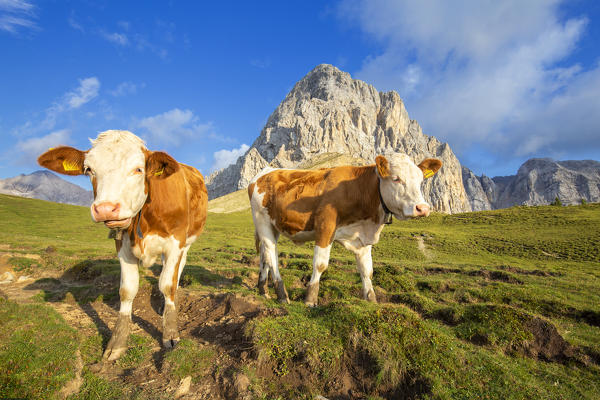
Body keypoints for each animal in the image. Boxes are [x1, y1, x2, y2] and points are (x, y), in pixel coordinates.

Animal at [37, 130, 207, 360]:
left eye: (138, 169)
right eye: (89, 169)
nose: (106, 209)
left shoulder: (176, 242)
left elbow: (167, 284)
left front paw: (170, 333)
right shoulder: (123, 246)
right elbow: (127, 290)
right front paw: (117, 343)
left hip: (188, 241)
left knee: (178, 269)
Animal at [247, 153, 440, 306]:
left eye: (421, 181)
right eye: (396, 178)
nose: (422, 208)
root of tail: (265, 172)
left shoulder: (363, 239)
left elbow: (367, 270)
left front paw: (371, 299)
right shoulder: (325, 227)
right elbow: (320, 264)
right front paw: (310, 299)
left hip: (273, 226)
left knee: (264, 255)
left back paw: (263, 290)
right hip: (262, 220)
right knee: (272, 255)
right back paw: (281, 295)